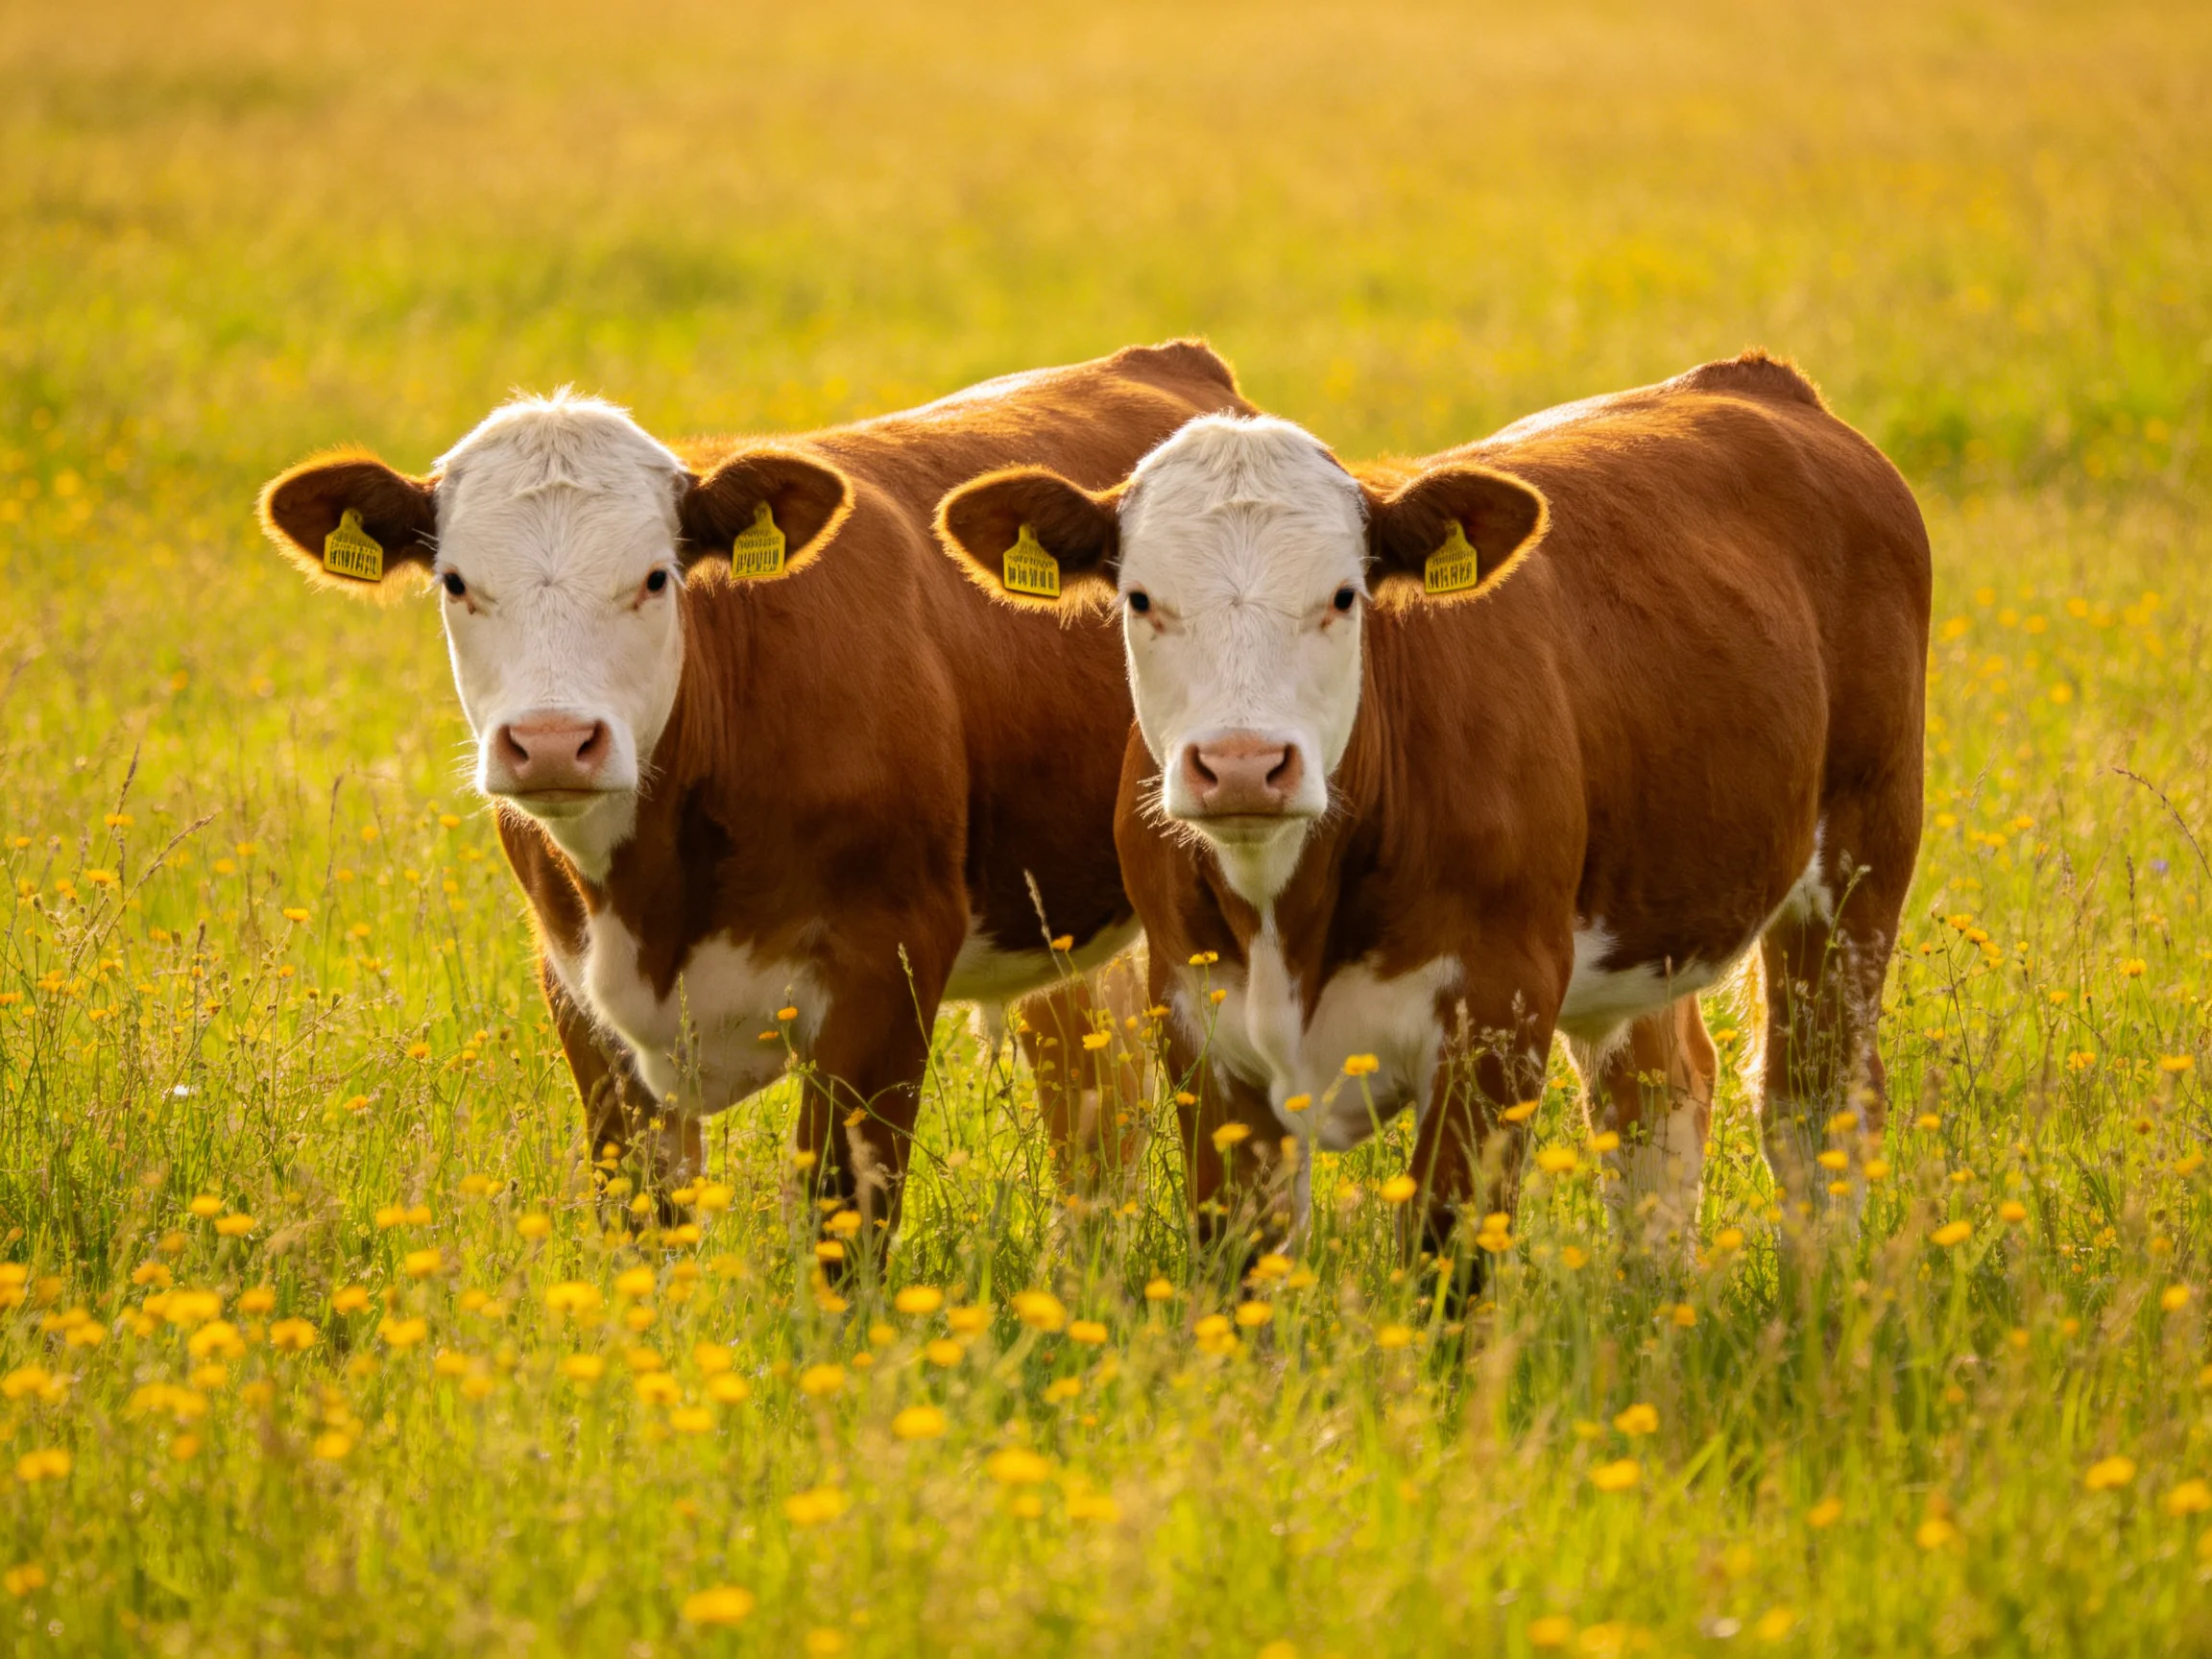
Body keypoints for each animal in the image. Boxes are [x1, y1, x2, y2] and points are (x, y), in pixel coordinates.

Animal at [255, 341, 1251, 1238]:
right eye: (457, 583)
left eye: (655, 578)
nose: (552, 744)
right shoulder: (578, 991)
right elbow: (644, 1218)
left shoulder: (888, 968)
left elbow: (839, 1219)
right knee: (1090, 1097)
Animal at [936, 352, 1930, 1284]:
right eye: (1140, 598)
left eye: (1344, 596)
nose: (1244, 765)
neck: (1289, 918)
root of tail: (1760, 383)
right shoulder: (1199, 1026)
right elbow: (1241, 1258)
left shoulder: (1498, 1014)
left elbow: (1447, 1253)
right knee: (1657, 1094)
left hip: (1856, 875)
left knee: (1816, 1107)